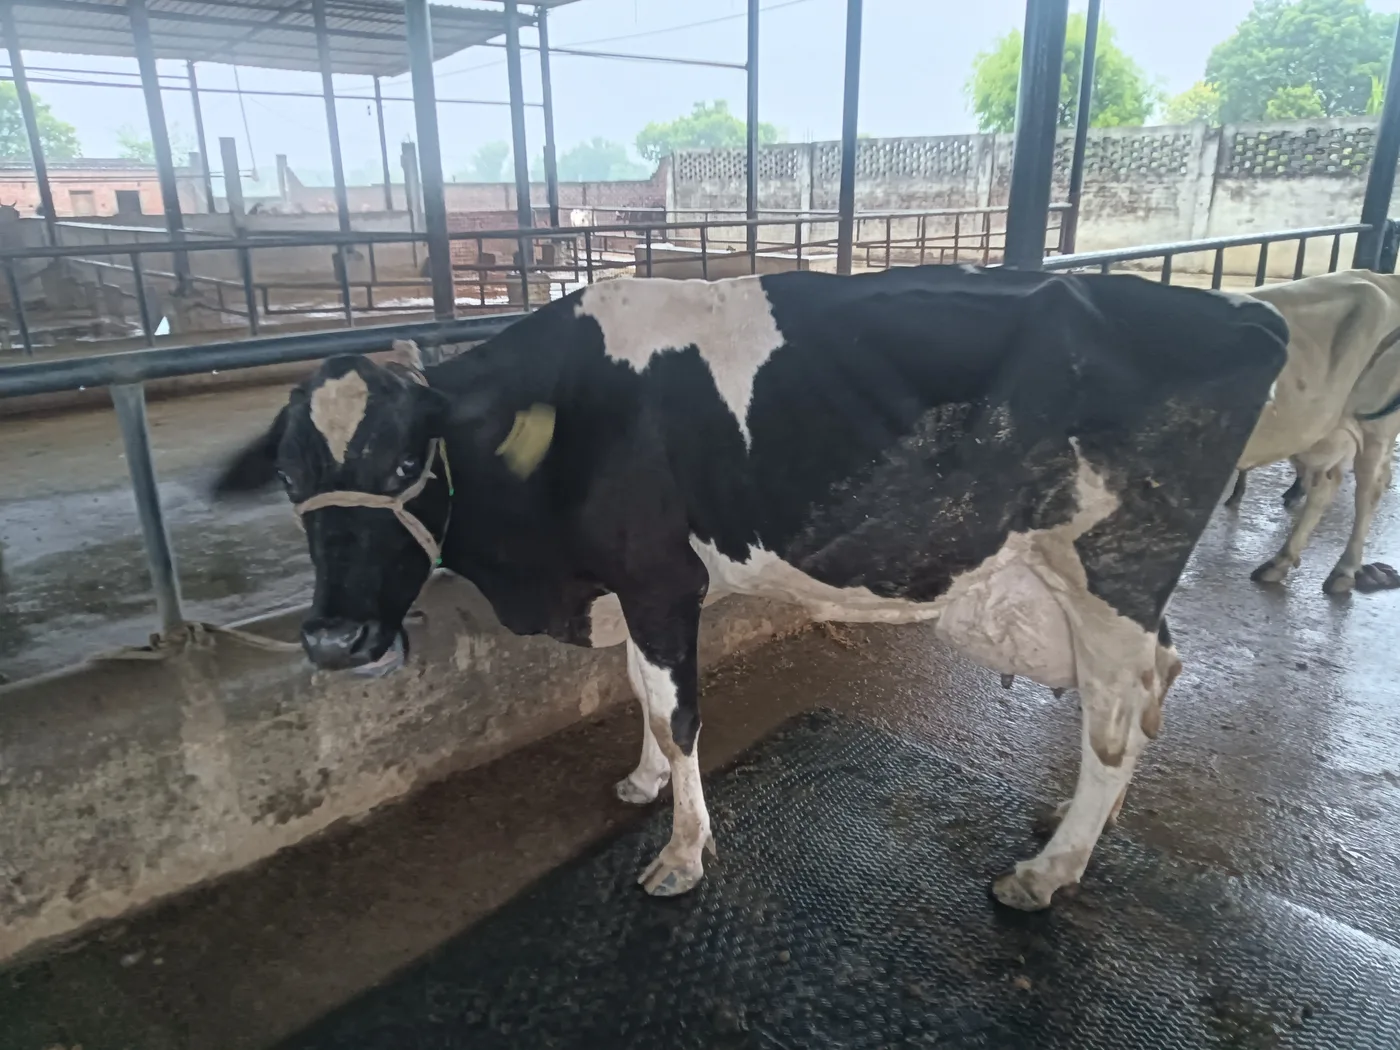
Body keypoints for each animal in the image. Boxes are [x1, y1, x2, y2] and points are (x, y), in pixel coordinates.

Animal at [212, 265, 1287, 911]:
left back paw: (1049, 869)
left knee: (1113, 717)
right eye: (289, 477)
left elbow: (679, 710)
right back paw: (1073, 833)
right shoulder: (632, 587)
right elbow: (643, 695)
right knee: (1157, 680)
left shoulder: (659, 579)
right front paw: (643, 780)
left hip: (1109, 573)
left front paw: (682, 852)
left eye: (404, 463)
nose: (332, 641)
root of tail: (1243, 307)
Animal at [1230, 270, 1400, 594]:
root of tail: (1382, 278)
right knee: (1326, 486)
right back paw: (1280, 562)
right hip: (1318, 430)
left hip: (1375, 429)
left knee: (1368, 492)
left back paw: (1344, 572)